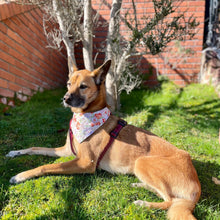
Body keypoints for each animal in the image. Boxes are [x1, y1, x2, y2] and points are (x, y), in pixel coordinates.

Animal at [6, 60, 200, 220]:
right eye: (69, 84)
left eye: (83, 86)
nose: (65, 99)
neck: (87, 115)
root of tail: (196, 190)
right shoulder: (66, 150)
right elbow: (34, 148)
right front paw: (15, 152)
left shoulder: (85, 163)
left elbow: (45, 166)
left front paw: (20, 176)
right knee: (164, 195)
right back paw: (139, 185)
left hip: (142, 162)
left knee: (170, 201)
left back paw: (143, 204)